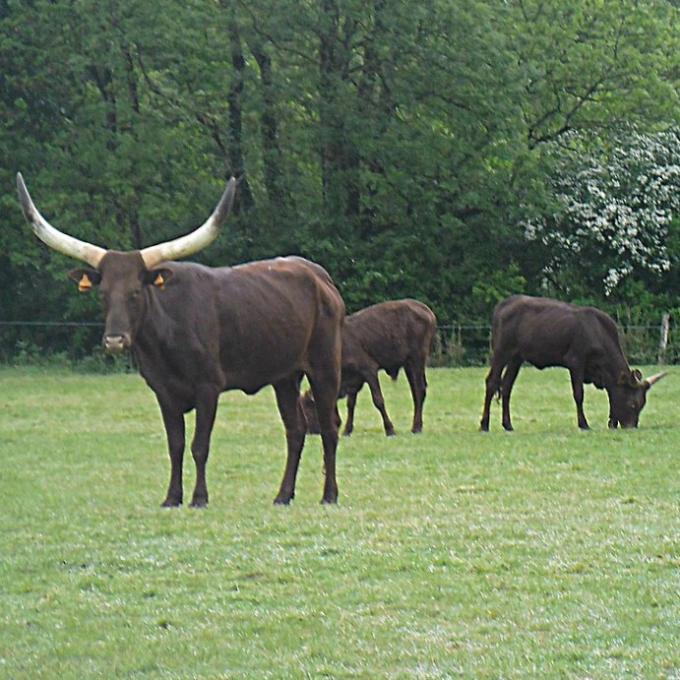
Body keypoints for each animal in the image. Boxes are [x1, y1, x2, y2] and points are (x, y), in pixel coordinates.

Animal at [17, 174, 346, 504]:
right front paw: (172, 497)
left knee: (329, 427)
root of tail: (320, 276)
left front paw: (199, 498)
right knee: (296, 430)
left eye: (136, 292)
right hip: (285, 377)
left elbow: (199, 446)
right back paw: (283, 495)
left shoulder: (208, 388)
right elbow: (175, 446)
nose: (115, 341)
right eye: (103, 294)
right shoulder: (163, 392)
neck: (166, 338)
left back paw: (329, 495)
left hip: (325, 367)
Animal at [302, 300, 436, 438]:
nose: (309, 431)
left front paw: (390, 430)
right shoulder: (354, 379)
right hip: (408, 365)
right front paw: (347, 430)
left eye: (308, 408)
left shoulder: (369, 371)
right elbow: (351, 404)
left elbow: (378, 400)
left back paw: (416, 428)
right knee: (415, 392)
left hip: (417, 360)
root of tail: (426, 310)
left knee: (420, 390)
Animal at [480, 294, 668, 430]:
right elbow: (579, 394)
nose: (631, 427)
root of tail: (503, 305)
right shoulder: (576, 362)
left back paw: (508, 425)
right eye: (632, 404)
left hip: (516, 358)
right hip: (502, 352)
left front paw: (612, 422)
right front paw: (583, 424)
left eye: (642, 405)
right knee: (492, 382)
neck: (597, 332)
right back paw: (484, 424)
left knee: (506, 386)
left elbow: (611, 395)